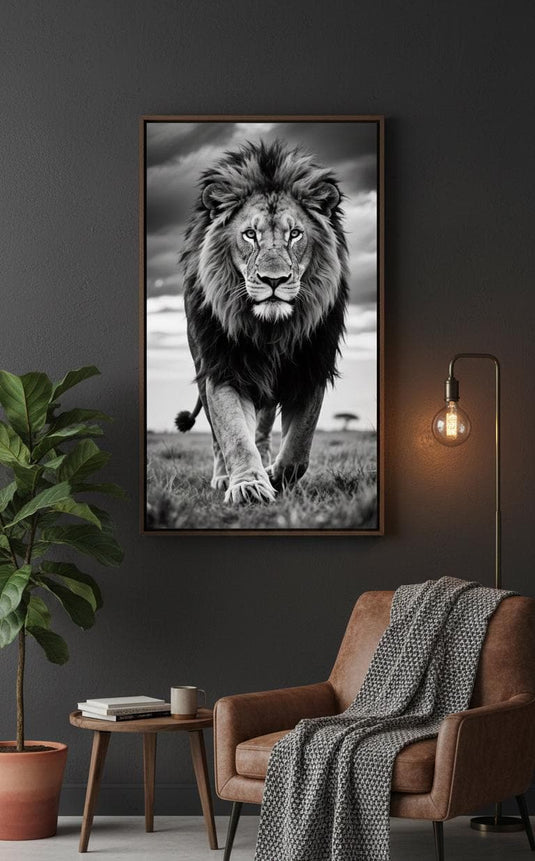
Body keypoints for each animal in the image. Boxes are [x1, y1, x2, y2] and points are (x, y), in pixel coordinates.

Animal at [176, 139, 349, 504]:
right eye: (250, 234)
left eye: (295, 234)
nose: (274, 280)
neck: (271, 331)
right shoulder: (223, 368)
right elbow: (234, 436)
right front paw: (248, 485)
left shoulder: (311, 368)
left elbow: (299, 448)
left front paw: (274, 476)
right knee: (218, 437)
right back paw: (223, 477)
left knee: (264, 430)